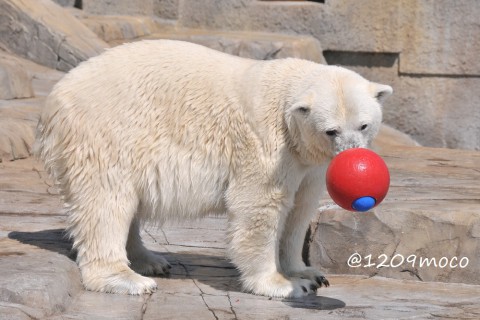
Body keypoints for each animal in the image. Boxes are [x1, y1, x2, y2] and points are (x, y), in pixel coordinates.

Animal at [35, 40, 392, 298]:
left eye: (363, 125)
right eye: (331, 130)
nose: (351, 155)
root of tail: (54, 98)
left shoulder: (308, 164)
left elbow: (300, 210)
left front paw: (308, 273)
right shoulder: (267, 146)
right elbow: (258, 207)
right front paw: (281, 285)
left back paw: (150, 261)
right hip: (107, 133)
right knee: (106, 203)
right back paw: (127, 279)